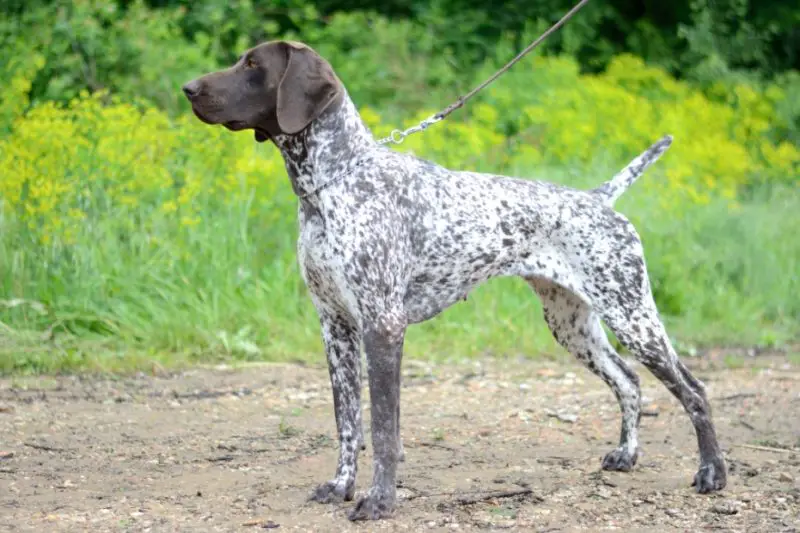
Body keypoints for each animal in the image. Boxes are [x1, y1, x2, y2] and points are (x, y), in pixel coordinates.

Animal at [184, 40, 728, 520]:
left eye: (253, 65)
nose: (188, 88)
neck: (333, 183)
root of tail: (599, 198)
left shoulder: (383, 326)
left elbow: (384, 429)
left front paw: (379, 502)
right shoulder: (335, 327)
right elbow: (347, 422)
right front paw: (340, 486)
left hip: (633, 316)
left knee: (694, 390)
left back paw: (712, 474)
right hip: (572, 324)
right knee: (629, 381)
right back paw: (627, 455)